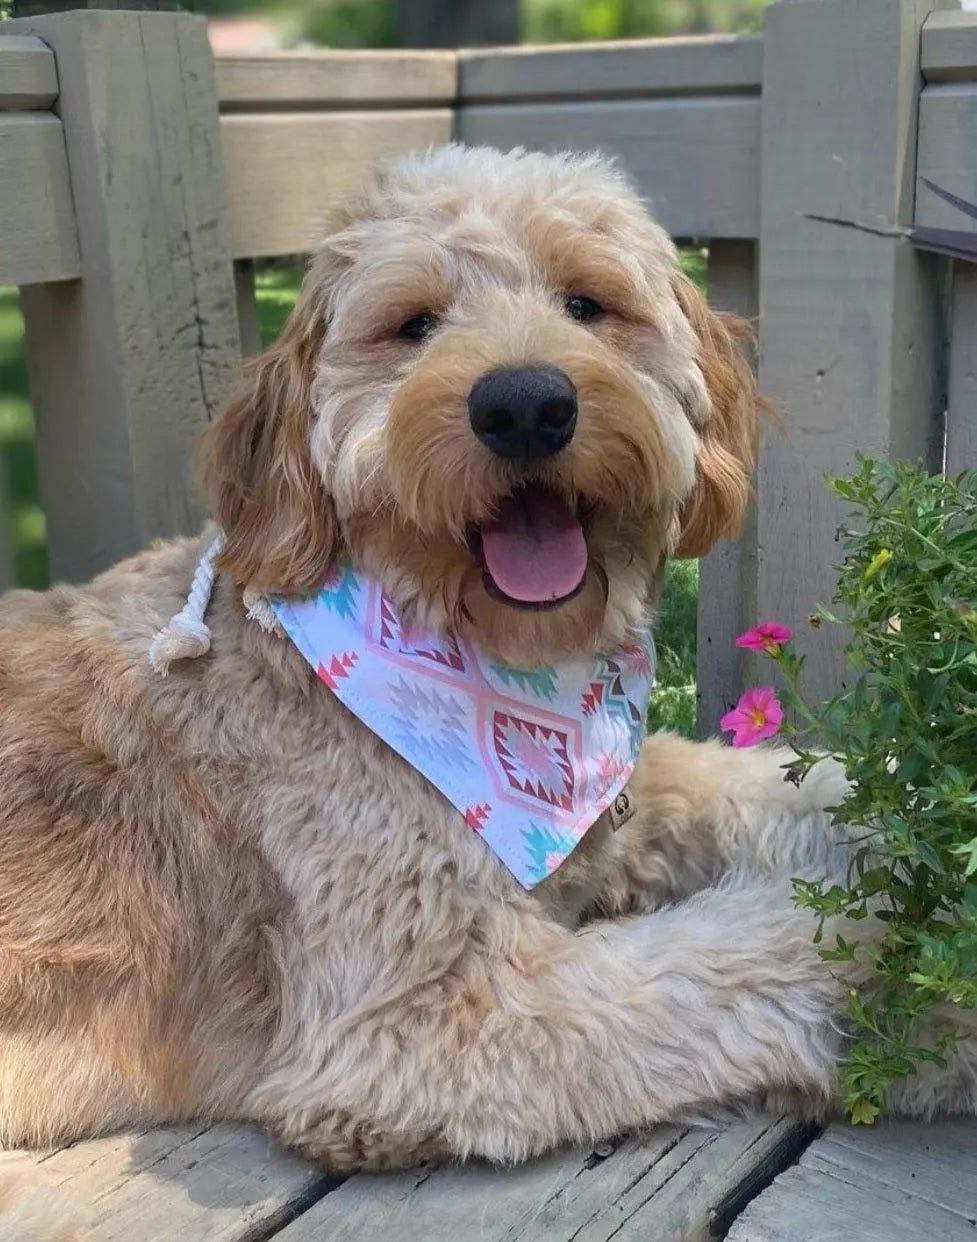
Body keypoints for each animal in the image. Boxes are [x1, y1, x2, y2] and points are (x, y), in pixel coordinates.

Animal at [0, 145, 968, 1162]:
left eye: (585, 302)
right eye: (414, 325)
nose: (525, 404)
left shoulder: (615, 807)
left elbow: (755, 784)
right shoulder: (428, 1020)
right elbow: (752, 953)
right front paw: (917, 980)